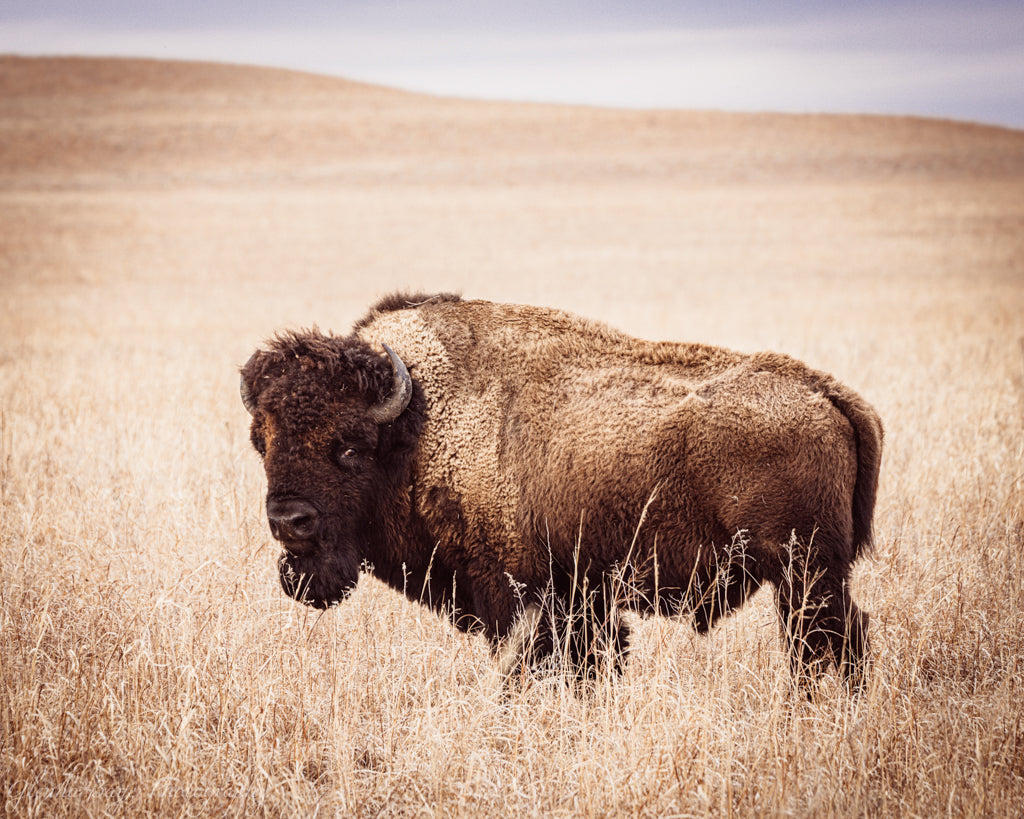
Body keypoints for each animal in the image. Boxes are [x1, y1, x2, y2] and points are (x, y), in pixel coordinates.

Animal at [241, 293, 883, 689]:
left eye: (350, 447)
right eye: (261, 442)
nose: (289, 522)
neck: (417, 426)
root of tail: (829, 393)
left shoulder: (523, 600)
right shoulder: (583, 603)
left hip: (804, 576)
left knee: (825, 646)